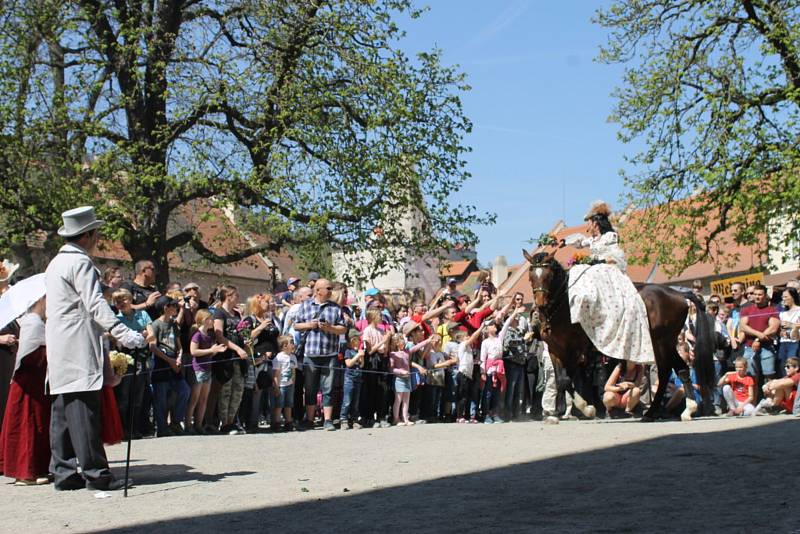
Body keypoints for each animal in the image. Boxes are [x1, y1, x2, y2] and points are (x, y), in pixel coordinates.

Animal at [524, 251, 720, 422]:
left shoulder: (574, 350)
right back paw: (658, 412)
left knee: (673, 371)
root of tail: (679, 294)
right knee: (673, 371)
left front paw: (587, 409)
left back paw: (681, 410)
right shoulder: (555, 349)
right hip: (662, 344)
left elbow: (566, 380)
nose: (539, 305)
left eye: (548, 275)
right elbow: (562, 381)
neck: (563, 307)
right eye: (531, 276)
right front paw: (568, 411)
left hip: (663, 343)